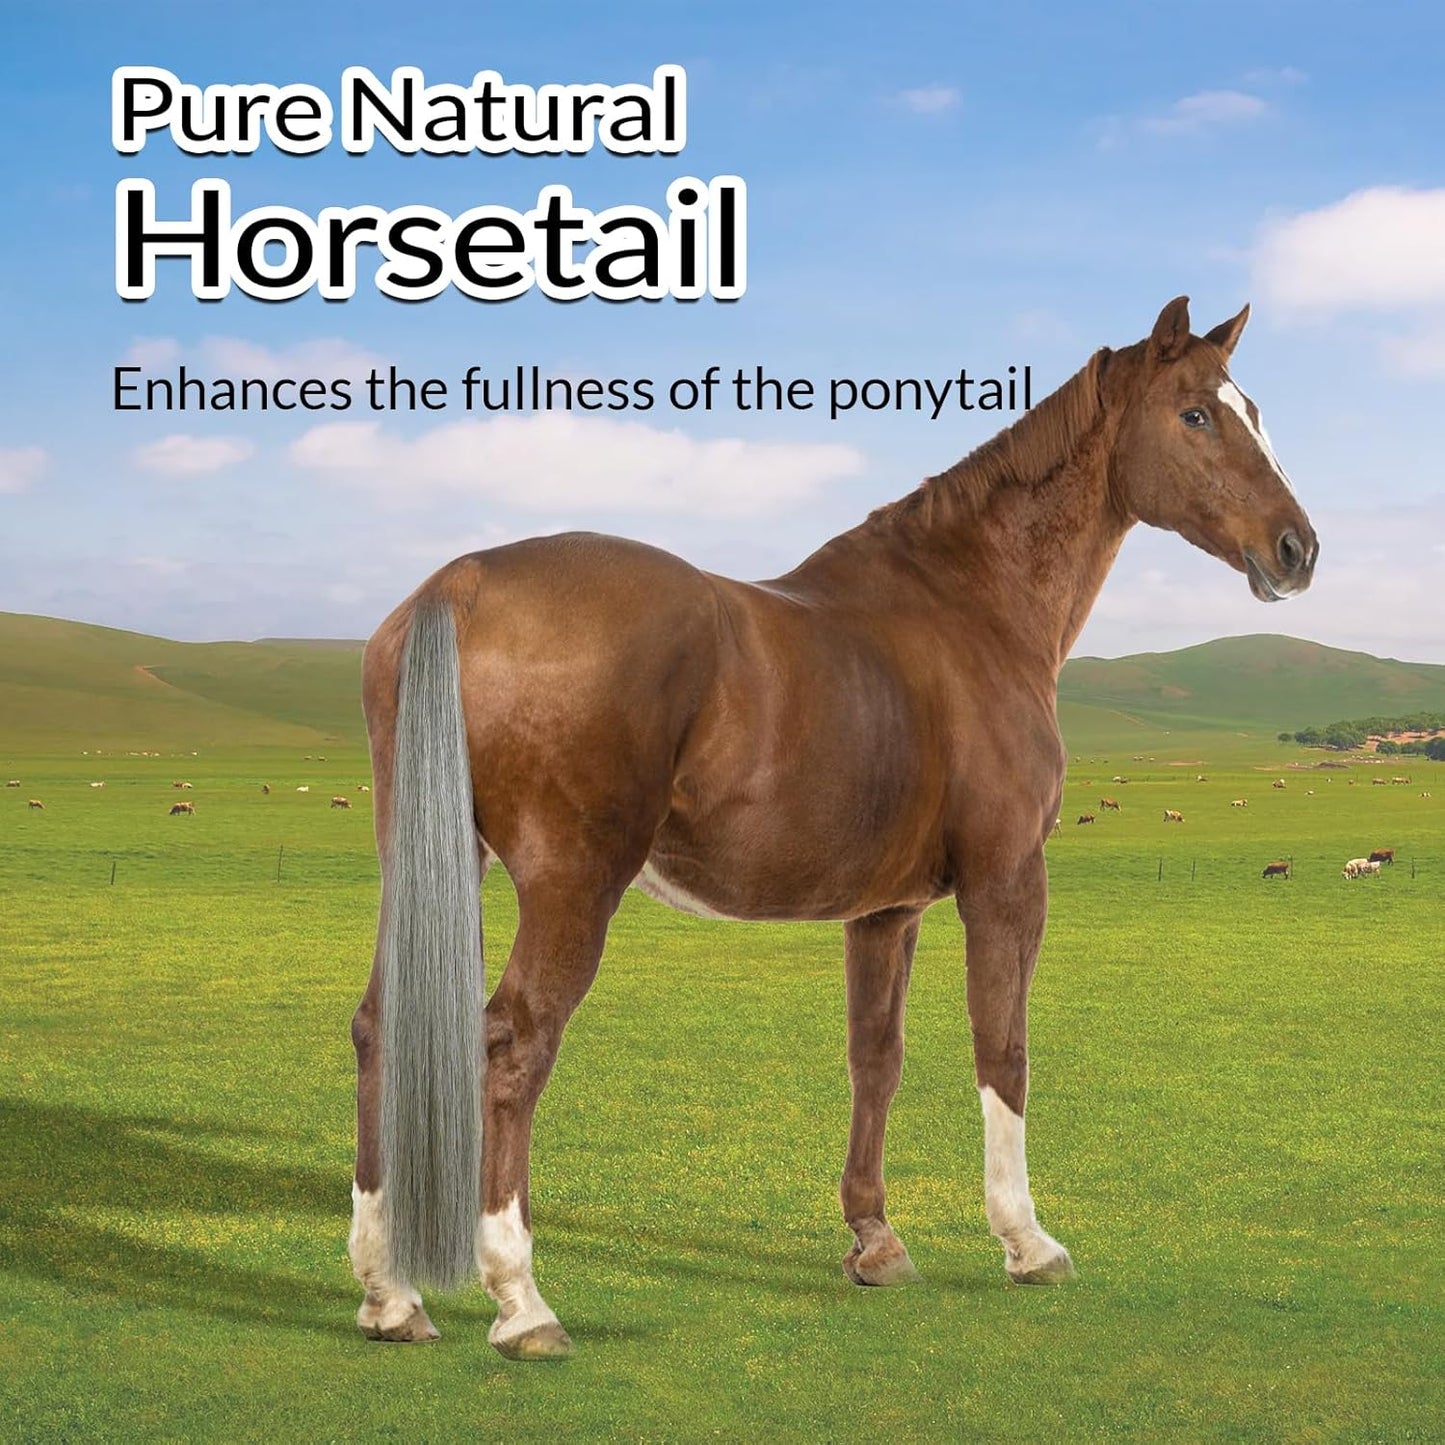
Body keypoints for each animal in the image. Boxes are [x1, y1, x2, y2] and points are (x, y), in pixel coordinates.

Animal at [347, 297, 1317, 1358]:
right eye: (1195, 414)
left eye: (1254, 409)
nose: (1296, 549)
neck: (969, 604)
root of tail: (461, 585)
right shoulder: (1006, 880)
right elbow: (1002, 1049)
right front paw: (1026, 1241)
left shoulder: (884, 910)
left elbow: (875, 1058)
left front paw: (874, 1240)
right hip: (570, 883)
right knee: (513, 1046)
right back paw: (522, 1301)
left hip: (430, 866)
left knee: (377, 1029)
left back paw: (390, 1294)